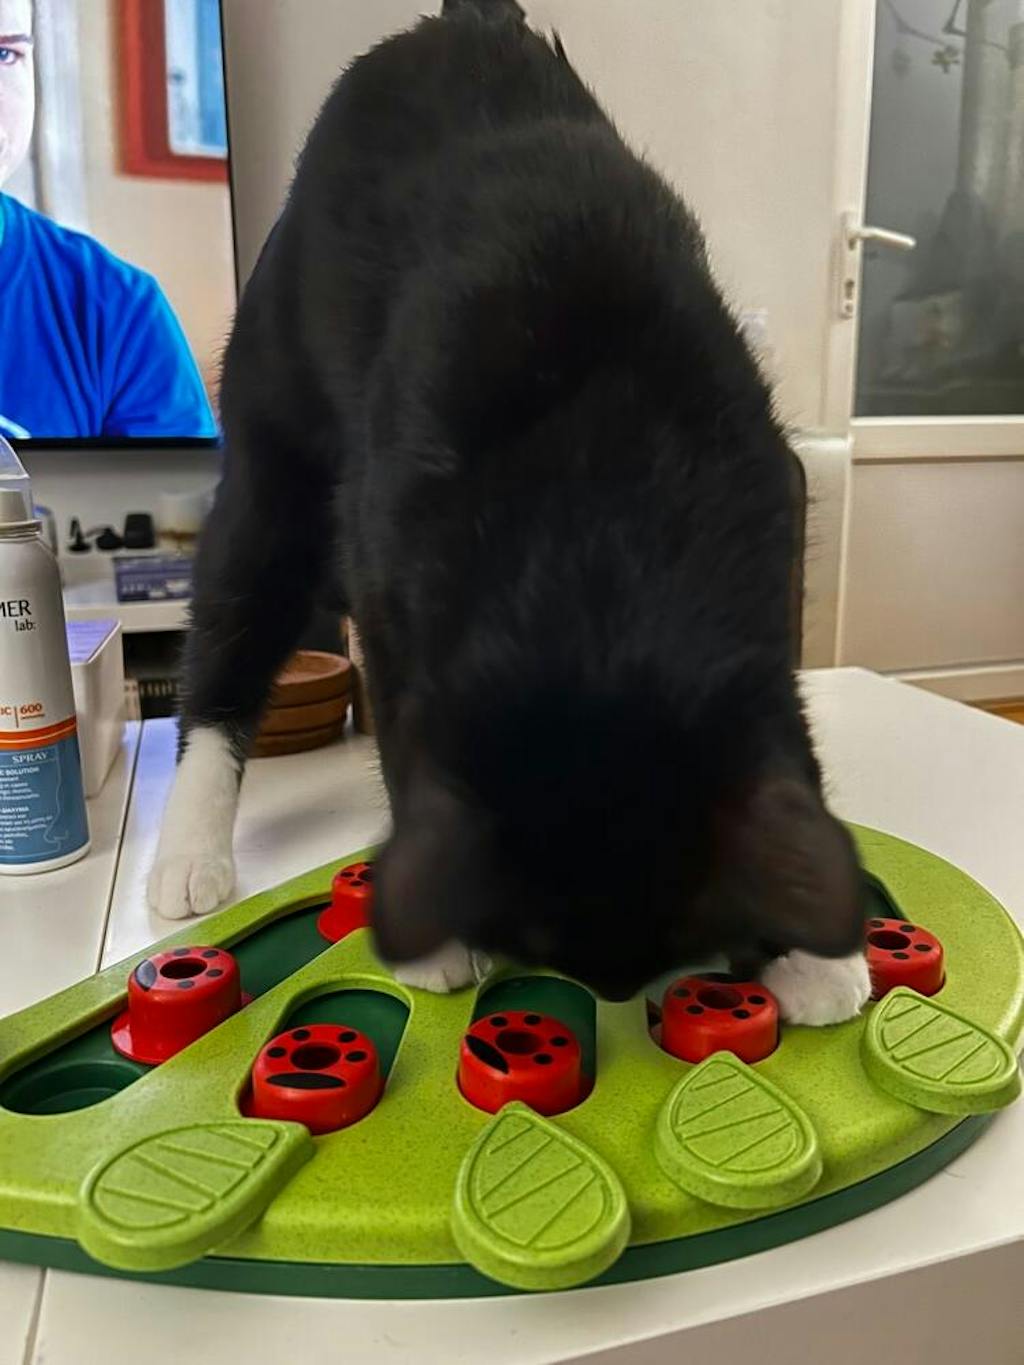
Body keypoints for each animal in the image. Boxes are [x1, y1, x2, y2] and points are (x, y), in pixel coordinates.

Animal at [148, 0, 870, 1025]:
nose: (613, 993)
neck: (602, 540)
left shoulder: (764, 517)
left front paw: (807, 946)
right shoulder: (392, 569)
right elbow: (403, 726)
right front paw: (432, 930)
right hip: (271, 436)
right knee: (232, 622)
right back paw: (190, 847)